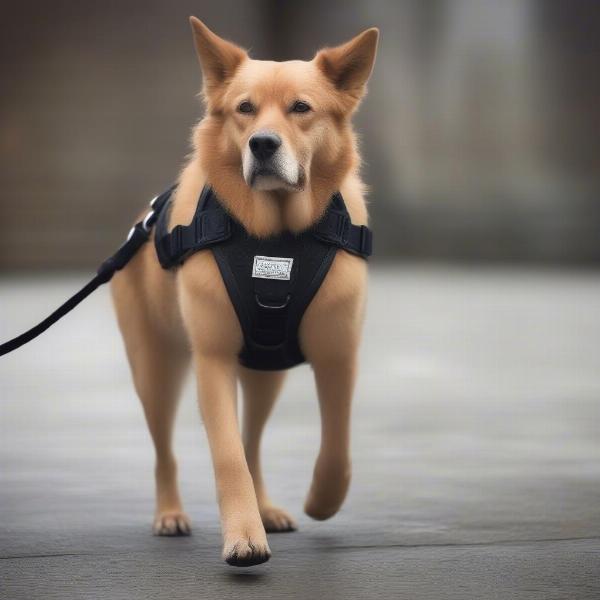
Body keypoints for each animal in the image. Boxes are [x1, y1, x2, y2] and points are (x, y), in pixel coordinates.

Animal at [110, 15, 378, 568]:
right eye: (245, 109)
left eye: (301, 108)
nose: (262, 145)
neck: (277, 234)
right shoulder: (212, 360)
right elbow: (228, 455)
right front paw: (243, 537)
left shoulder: (339, 353)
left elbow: (337, 443)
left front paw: (322, 499)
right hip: (155, 369)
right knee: (166, 450)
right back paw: (170, 513)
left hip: (264, 373)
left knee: (253, 440)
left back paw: (268, 506)